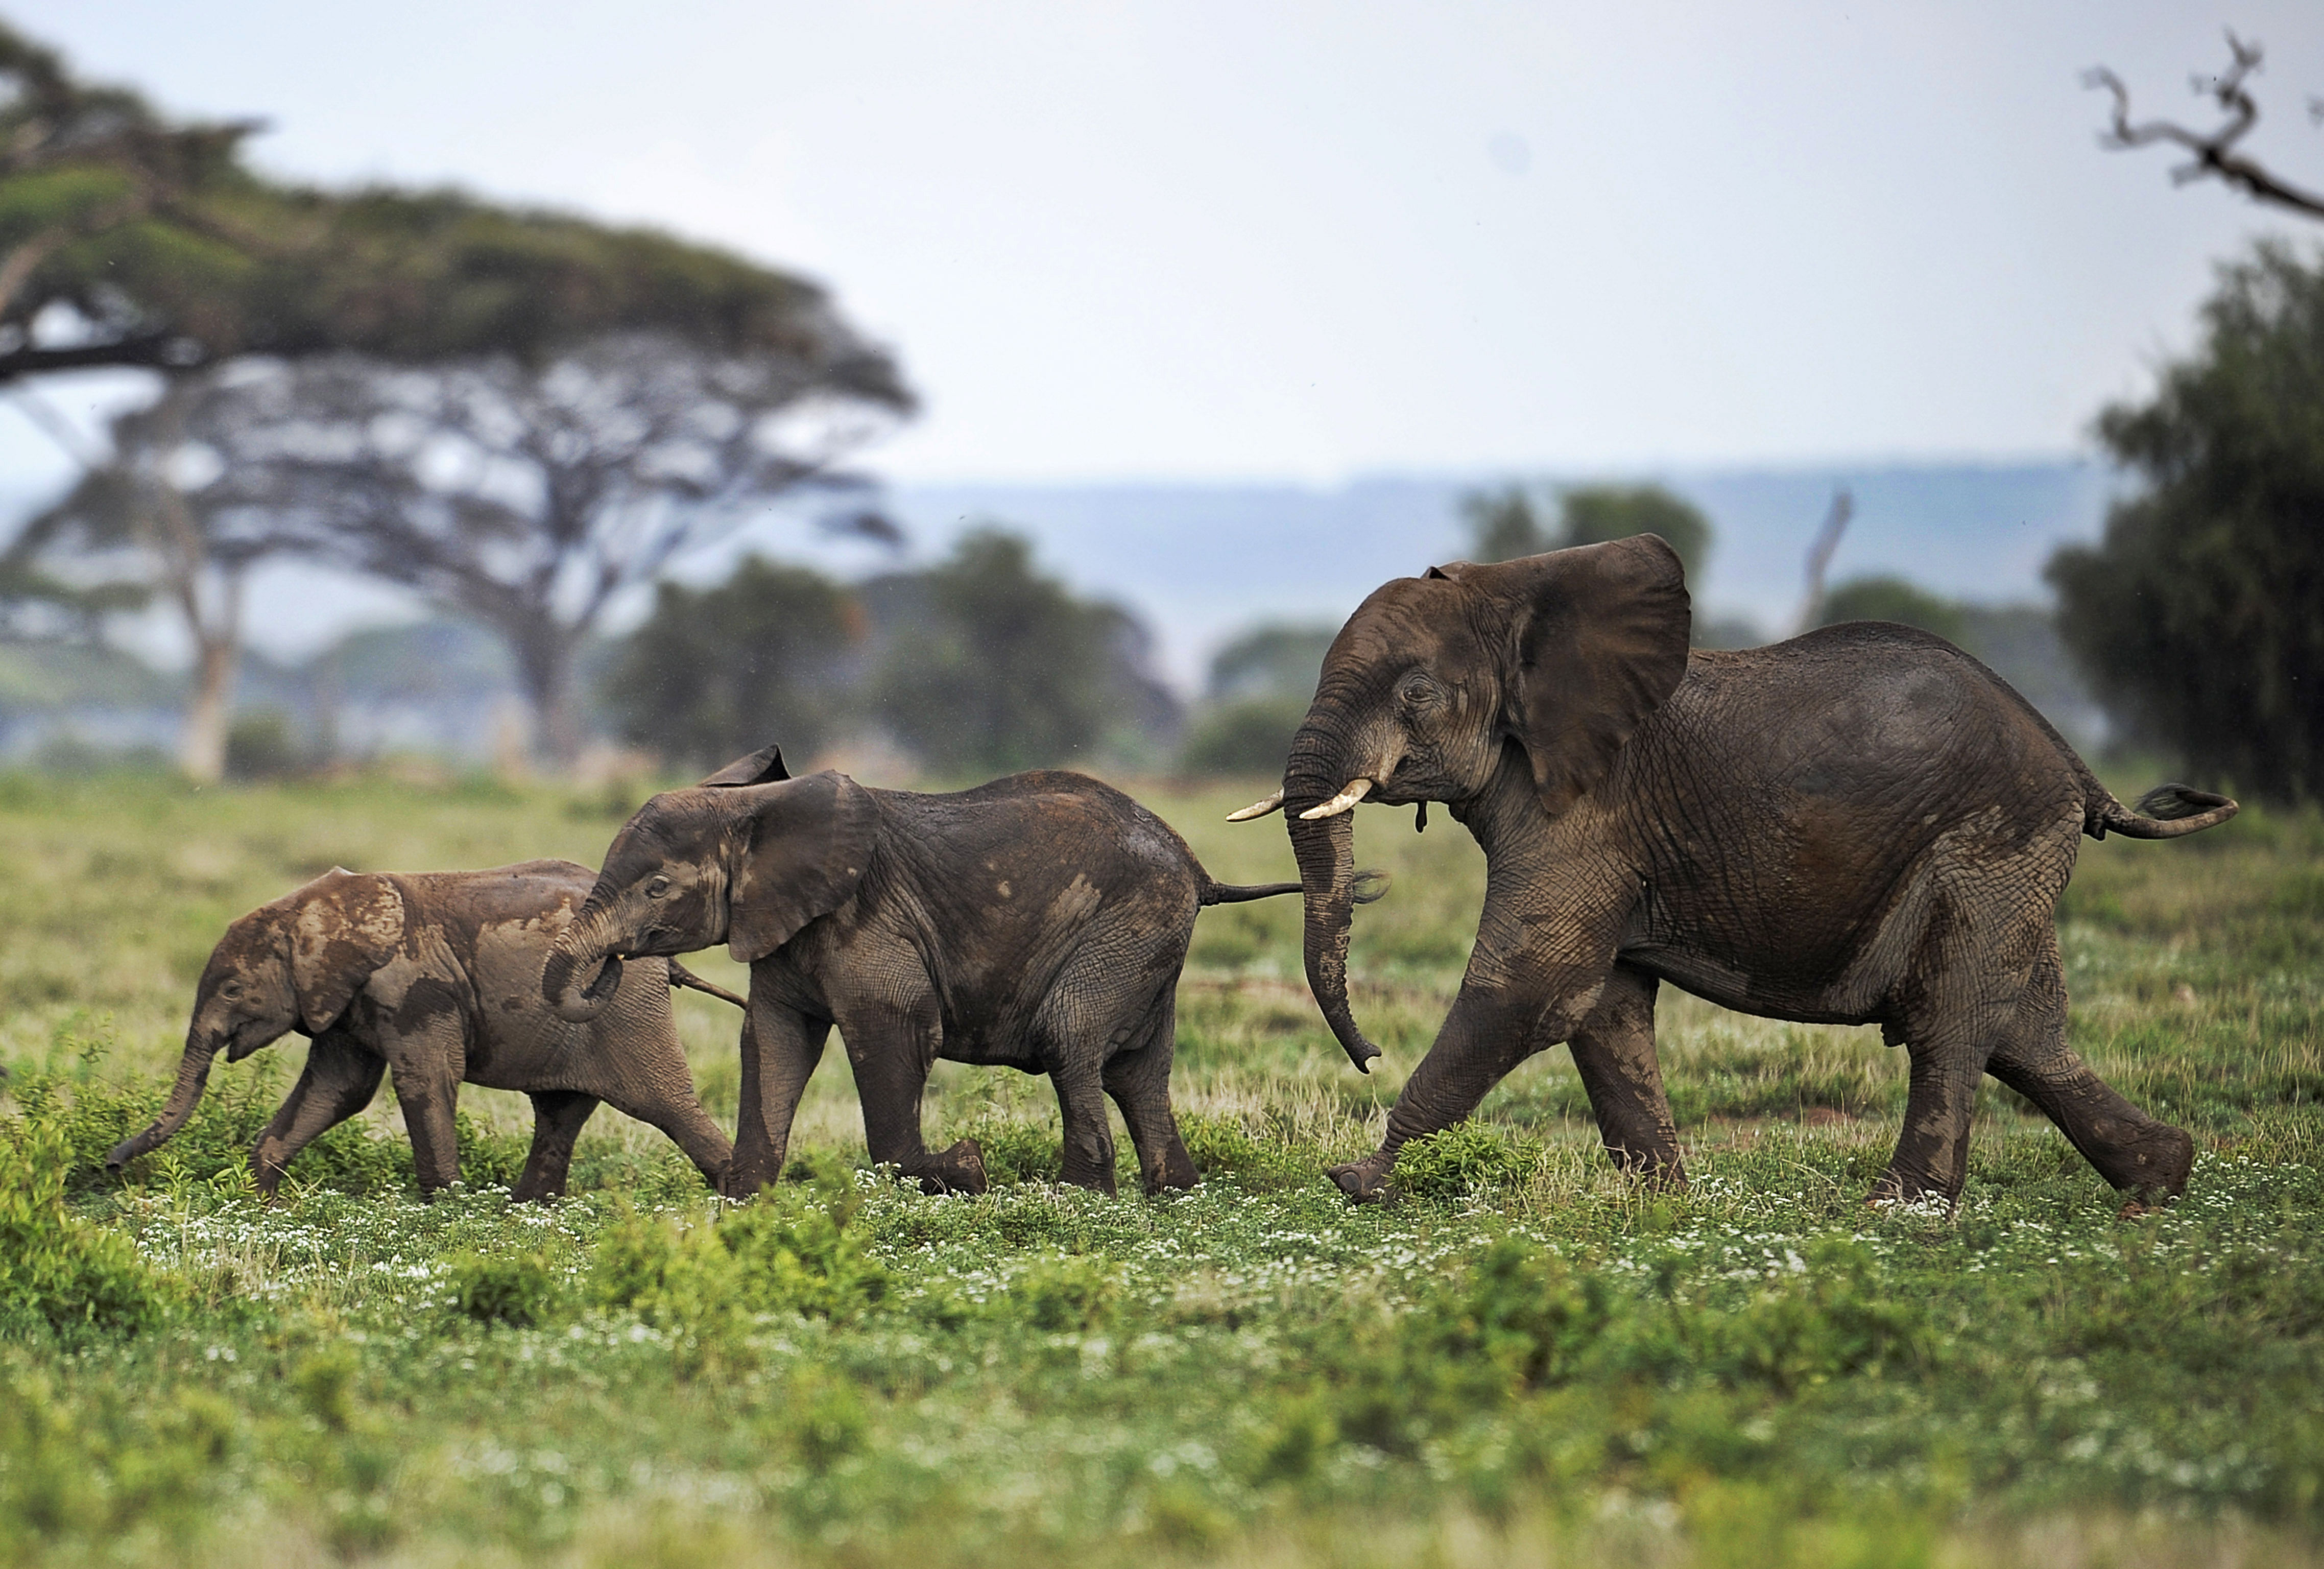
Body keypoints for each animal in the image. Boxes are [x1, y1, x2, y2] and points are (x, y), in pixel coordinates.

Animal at [107, 862, 741, 1200]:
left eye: (234, 990)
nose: (112, 1165)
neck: (310, 908)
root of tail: (663, 956)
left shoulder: (414, 988)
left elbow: (425, 1083)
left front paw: (445, 1213)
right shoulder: (345, 997)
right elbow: (337, 1091)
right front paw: (262, 1200)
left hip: (625, 1011)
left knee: (666, 1104)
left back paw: (741, 1201)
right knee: (560, 1113)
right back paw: (525, 1214)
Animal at [540, 744, 1314, 1197]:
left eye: (657, 889)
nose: (611, 969)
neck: (758, 812)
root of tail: (1198, 868)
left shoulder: (868, 922)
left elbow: (893, 1035)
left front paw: (964, 1168)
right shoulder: (785, 930)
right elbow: (772, 1041)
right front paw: (744, 1197)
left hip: (1125, 929)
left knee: (1070, 1041)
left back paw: (1080, 1199)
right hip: (1147, 944)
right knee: (1137, 1071)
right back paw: (1172, 1193)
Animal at [1233, 533, 2236, 1207]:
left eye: (1415, 694)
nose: (1367, 1056)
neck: (1516, 594)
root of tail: (2071, 760)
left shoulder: (1585, 813)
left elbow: (1529, 987)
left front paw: (1357, 1182)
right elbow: (1601, 1005)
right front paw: (1661, 1207)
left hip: (1988, 840)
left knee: (1952, 1016)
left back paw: (1899, 1215)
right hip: (2011, 855)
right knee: (2023, 1027)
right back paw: (2159, 1181)